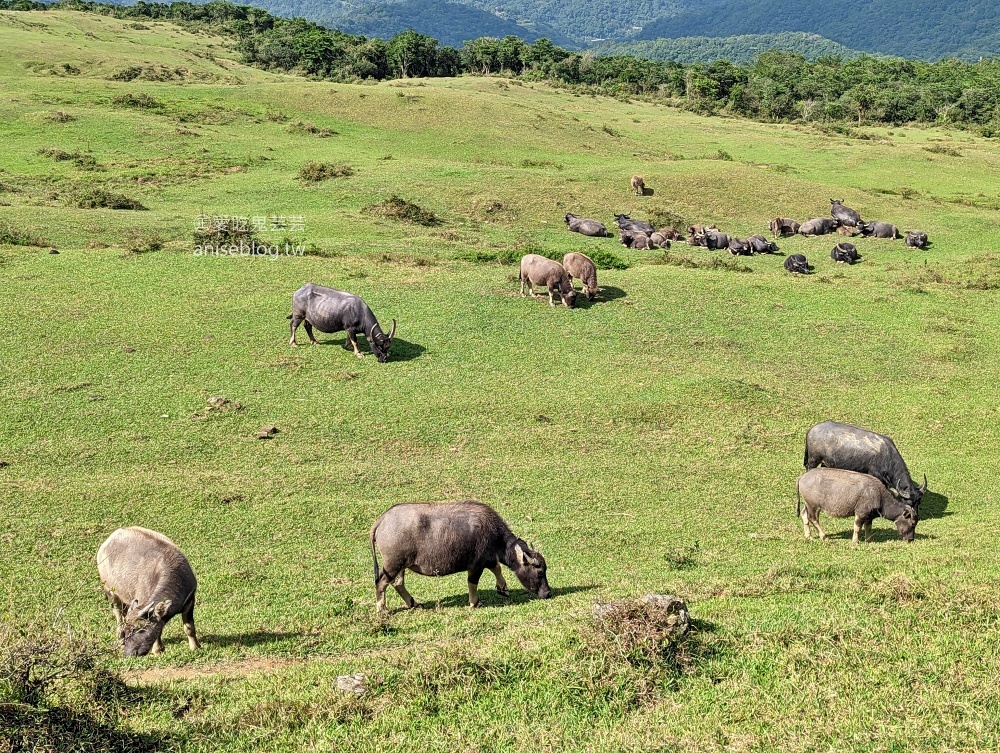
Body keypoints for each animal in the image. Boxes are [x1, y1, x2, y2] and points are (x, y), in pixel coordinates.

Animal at [96, 524, 200, 656]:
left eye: (139, 628)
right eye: (129, 630)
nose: (129, 654)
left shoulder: (190, 601)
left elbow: (189, 627)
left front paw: (195, 647)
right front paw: (158, 650)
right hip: (111, 593)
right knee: (118, 615)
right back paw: (120, 641)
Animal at [370, 500, 552, 612]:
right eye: (540, 572)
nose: (548, 593)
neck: (494, 535)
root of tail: (381, 520)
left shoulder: (488, 559)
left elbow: (497, 568)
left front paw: (503, 588)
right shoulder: (476, 565)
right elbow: (473, 582)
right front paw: (474, 602)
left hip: (401, 565)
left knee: (397, 583)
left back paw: (414, 603)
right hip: (393, 564)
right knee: (381, 583)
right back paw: (382, 609)